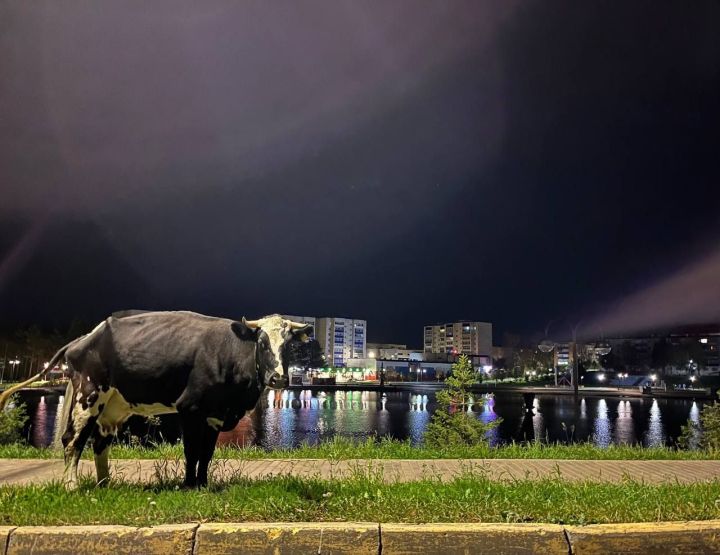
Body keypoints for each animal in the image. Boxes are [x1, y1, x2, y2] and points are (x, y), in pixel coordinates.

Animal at [0, 312, 312, 490]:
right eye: (262, 342)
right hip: (88, 394)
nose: (278, 379)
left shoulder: (215, 414)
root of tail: (83, 339)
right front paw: (188, 485)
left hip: (113, 406)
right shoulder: (189, 408)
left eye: (289, 345)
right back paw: (72, 485)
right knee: (72, 439)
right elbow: (191, 451)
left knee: (100, 442)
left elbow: (207, 454)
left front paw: (203, 483)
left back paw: (105, 484)